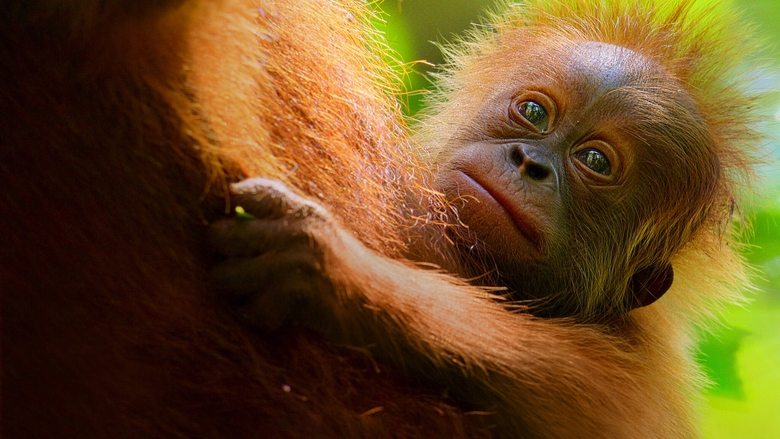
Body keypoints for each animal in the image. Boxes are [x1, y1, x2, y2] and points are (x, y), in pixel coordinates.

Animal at [0, 0, 760, 437]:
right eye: (534, 111)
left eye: (596, 161)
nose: (530, 163)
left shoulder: (622, 374)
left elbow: (533, 380)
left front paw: (329, 271)